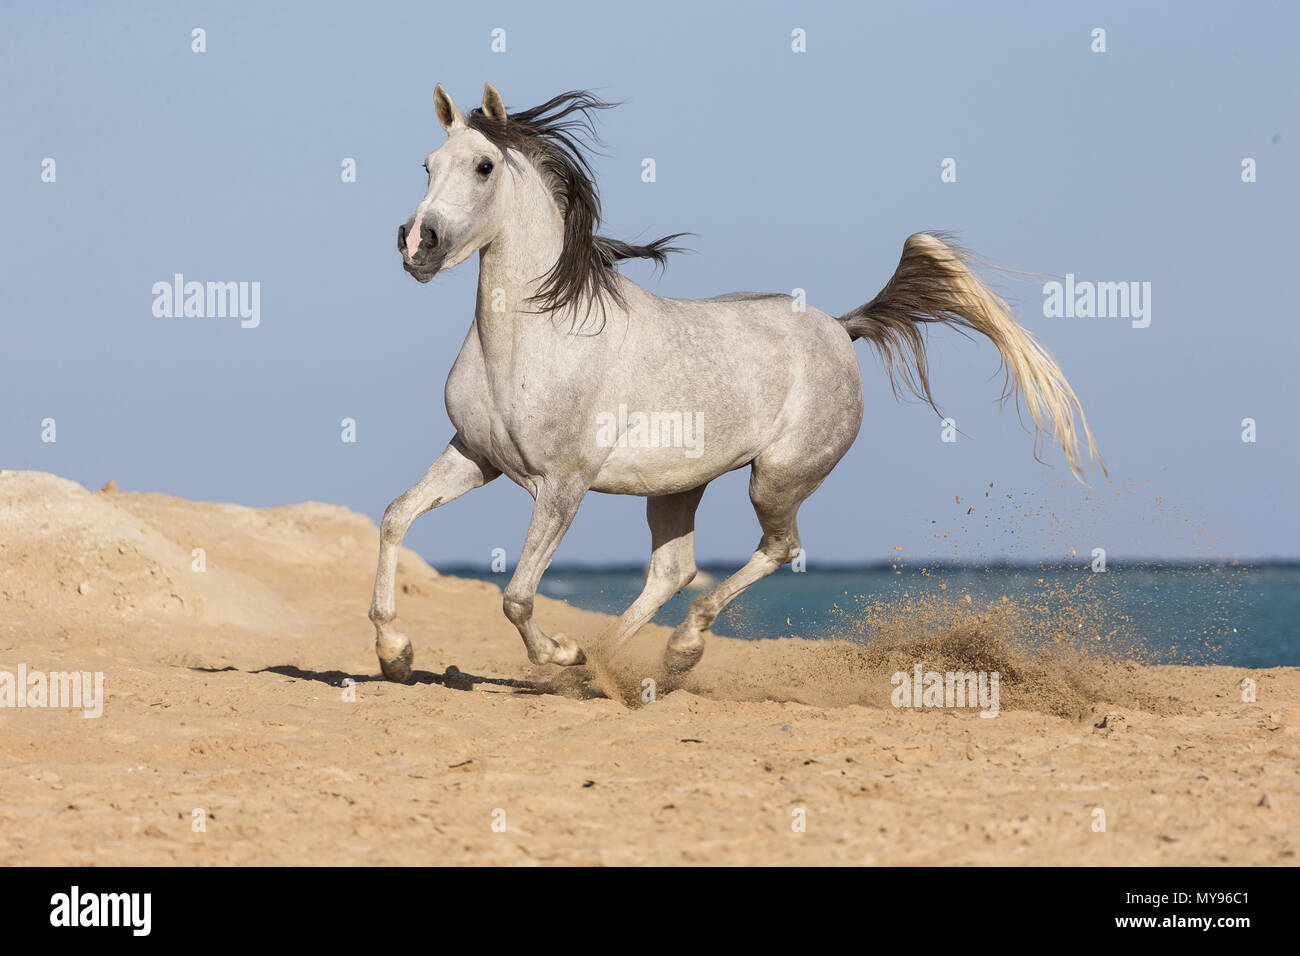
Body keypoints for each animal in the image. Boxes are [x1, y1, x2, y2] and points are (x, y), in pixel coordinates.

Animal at [366, 80, 1097, 681]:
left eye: (483, 166)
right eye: (428, 165)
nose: (418, 243)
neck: (533, 337)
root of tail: (841, 329)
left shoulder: (562, 484)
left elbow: (516, 597)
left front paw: (559, 653)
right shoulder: (476, 456)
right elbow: (397, 515)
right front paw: (395, 654)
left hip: (775, 479)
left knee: (777, 549)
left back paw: (664, 653)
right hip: (675, 486)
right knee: (674, 570)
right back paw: (607, 664)